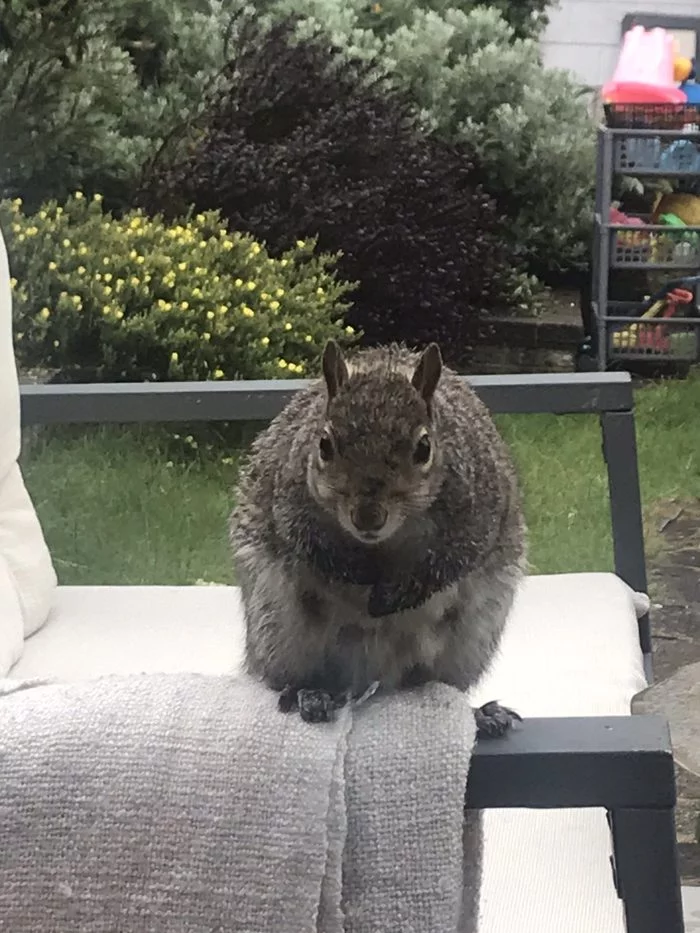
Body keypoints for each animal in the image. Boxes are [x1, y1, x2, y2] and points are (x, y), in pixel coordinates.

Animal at [230, 340, 524, 736]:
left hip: (472, 636)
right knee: (294, 675)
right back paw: (312, 694)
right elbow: (309, 541)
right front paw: (353, 572)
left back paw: (481, 714)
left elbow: (453, 557)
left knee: (438, 683)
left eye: (423, 448)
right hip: (278, 622)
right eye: (324, 444)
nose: (368, 517)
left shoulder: (477, 510)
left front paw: (396, 594)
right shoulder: (289, 496)